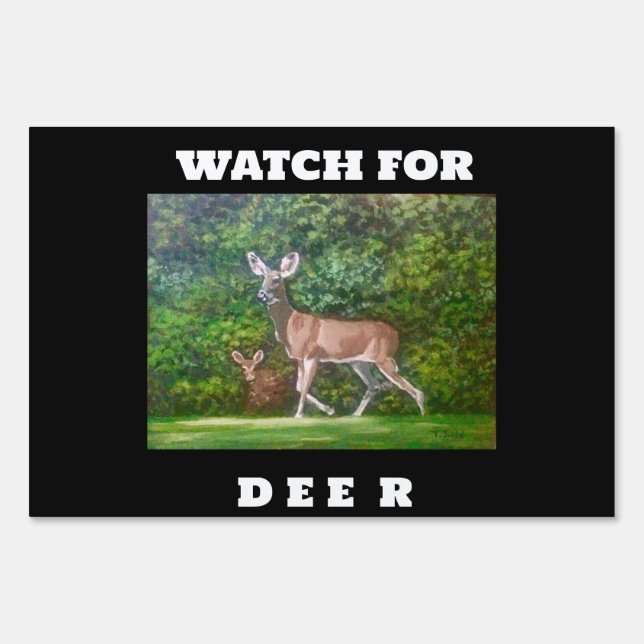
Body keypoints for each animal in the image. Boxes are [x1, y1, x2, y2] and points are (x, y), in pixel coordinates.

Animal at [247, 251, 425, 418]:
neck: (292, 326)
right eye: (262, 277)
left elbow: (304, 386)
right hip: (358, 362)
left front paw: (299, 415)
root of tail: (396, 334)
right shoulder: (298, 358)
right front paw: (330, 410)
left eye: (277, 279)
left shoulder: (312, 354)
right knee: (374, 385)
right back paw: (355, 414)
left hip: (383, 357)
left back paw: (423, 414)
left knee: (415, 390)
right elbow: (299, 385)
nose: (261, 295)